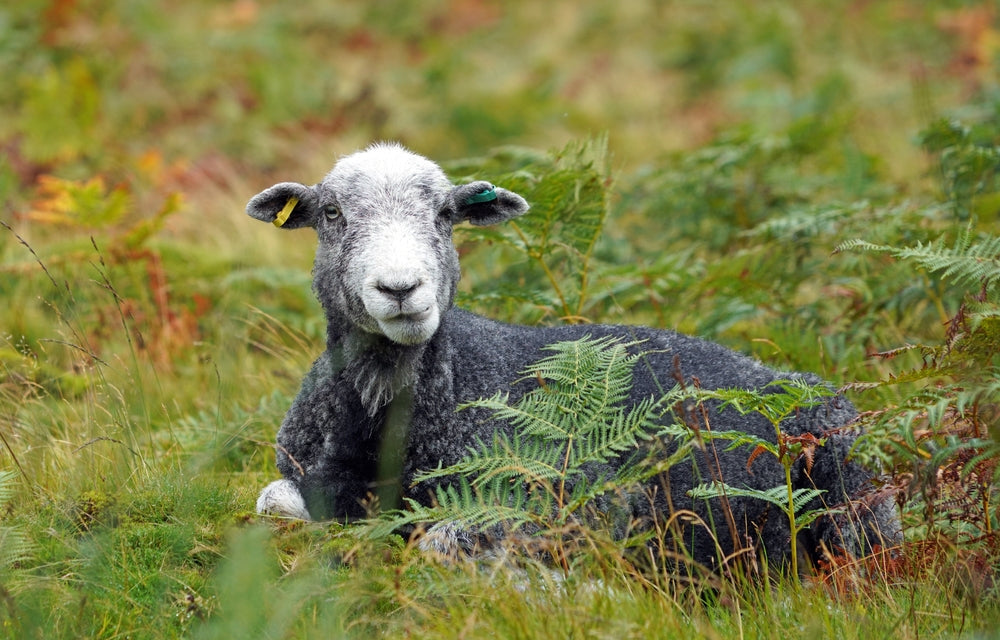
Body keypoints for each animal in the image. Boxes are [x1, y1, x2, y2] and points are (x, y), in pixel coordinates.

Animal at [248, 142, 900, 571]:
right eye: (332, 214)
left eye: (446, 216)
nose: (401, 289)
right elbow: (271, 504)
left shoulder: (571, 501)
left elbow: (439, 542)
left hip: (854, 498)